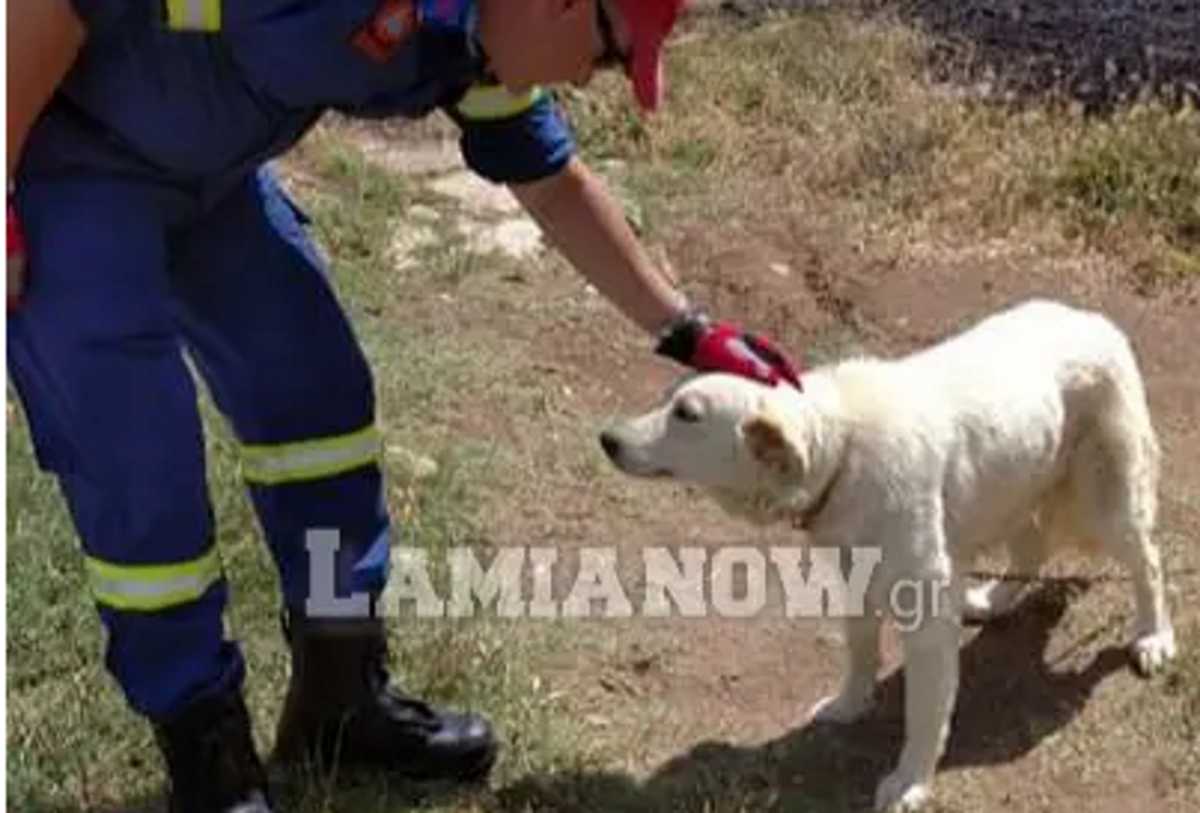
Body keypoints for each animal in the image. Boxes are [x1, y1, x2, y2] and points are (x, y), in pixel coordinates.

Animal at [600, 300, 1171, 813]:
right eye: (666, 399)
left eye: (687, 414)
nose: (606, 438)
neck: (843, 450)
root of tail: (1096, 320)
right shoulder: (856, 577)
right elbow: (859, 654)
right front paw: (850, 705)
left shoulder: (927, 622)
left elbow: (924, 716)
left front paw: (910, 782)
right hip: (1010, 488)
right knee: (1032, 545)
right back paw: (995, 600)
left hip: (1106, 504)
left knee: (1149, 561)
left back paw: (1153, 637)